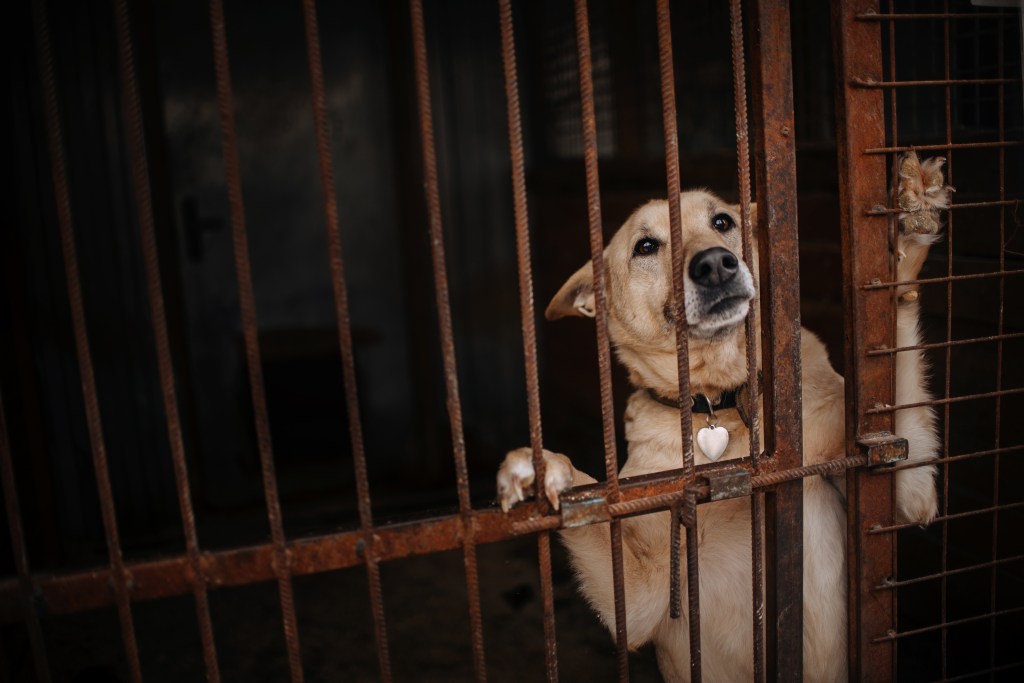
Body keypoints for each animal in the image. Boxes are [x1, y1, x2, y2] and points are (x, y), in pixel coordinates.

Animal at [493, 152, 942, 679]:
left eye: (722, 222)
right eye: (646, 246)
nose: (713, 264)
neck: (718, 405)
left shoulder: (904, 494)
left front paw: (910, 223)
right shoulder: (641, 597)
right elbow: (593, 508)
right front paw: (542, 469)